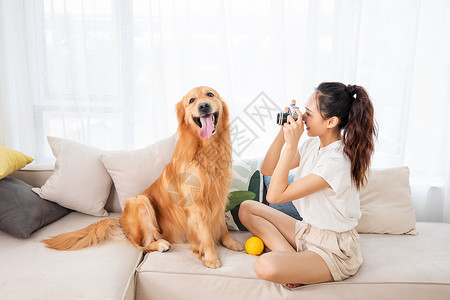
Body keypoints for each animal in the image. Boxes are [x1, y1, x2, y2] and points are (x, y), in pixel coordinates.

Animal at [43, 85, 243, 268]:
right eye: (191, 100)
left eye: (210, 94)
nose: (203, 106)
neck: (207, 151)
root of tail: (120, 219)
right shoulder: (195, 205)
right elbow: (206, 235)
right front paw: (211, 258)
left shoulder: (219, 198)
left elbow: (222, 226)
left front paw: (231, 243)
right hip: (140, 201)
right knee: (141, 244)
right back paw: (160, 244)